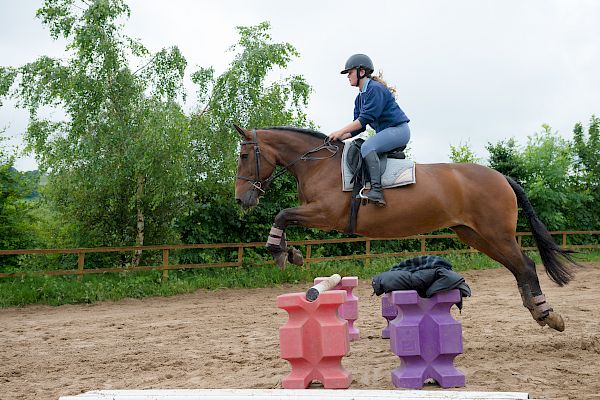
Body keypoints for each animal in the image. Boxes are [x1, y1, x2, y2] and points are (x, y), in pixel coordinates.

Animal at [232, 125, 580, 332]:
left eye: (245, 155)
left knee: (526, 265)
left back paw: (547, 314)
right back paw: (538, 312)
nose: (241, 199)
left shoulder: (326, 214)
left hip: (496, 234)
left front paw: (280, 252)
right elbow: (285, 218)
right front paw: (289, 252)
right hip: (476, 235)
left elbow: (282, 215)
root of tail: (501, 177)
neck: (318, 165)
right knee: (519, 267)